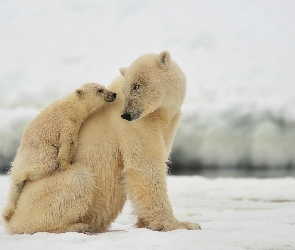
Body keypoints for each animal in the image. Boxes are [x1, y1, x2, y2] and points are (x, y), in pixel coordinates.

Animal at [6, 51, 201, 234]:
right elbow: (145, 166)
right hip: (43, 192)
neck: (160, 113)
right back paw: (76, 226)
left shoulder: (167, 123)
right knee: (78, 179)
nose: (127, 114)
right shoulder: (136, 124)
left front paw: (145, 222)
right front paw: (183, 224)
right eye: (127, 88)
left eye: (137, 85)